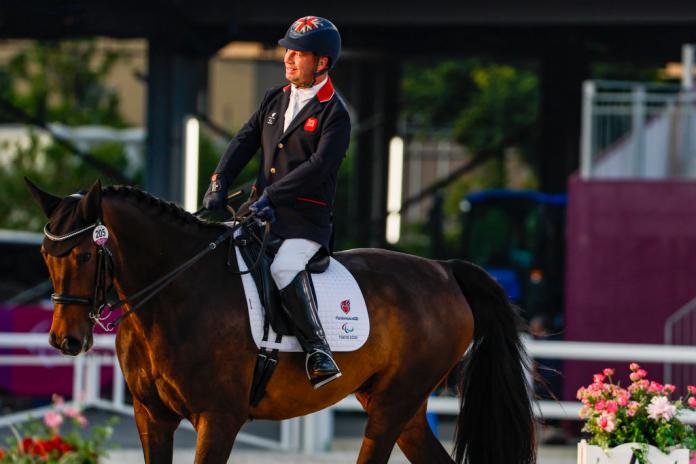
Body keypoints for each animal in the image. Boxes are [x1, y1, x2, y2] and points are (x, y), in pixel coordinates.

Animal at [25, 179, 540, 464]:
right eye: (45, 256)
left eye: (86, 254)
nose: (65, 340)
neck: (174, 294)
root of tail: (445, 269)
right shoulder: (151, 416)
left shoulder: (219, 418)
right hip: (401, 405)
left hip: (394, 404)